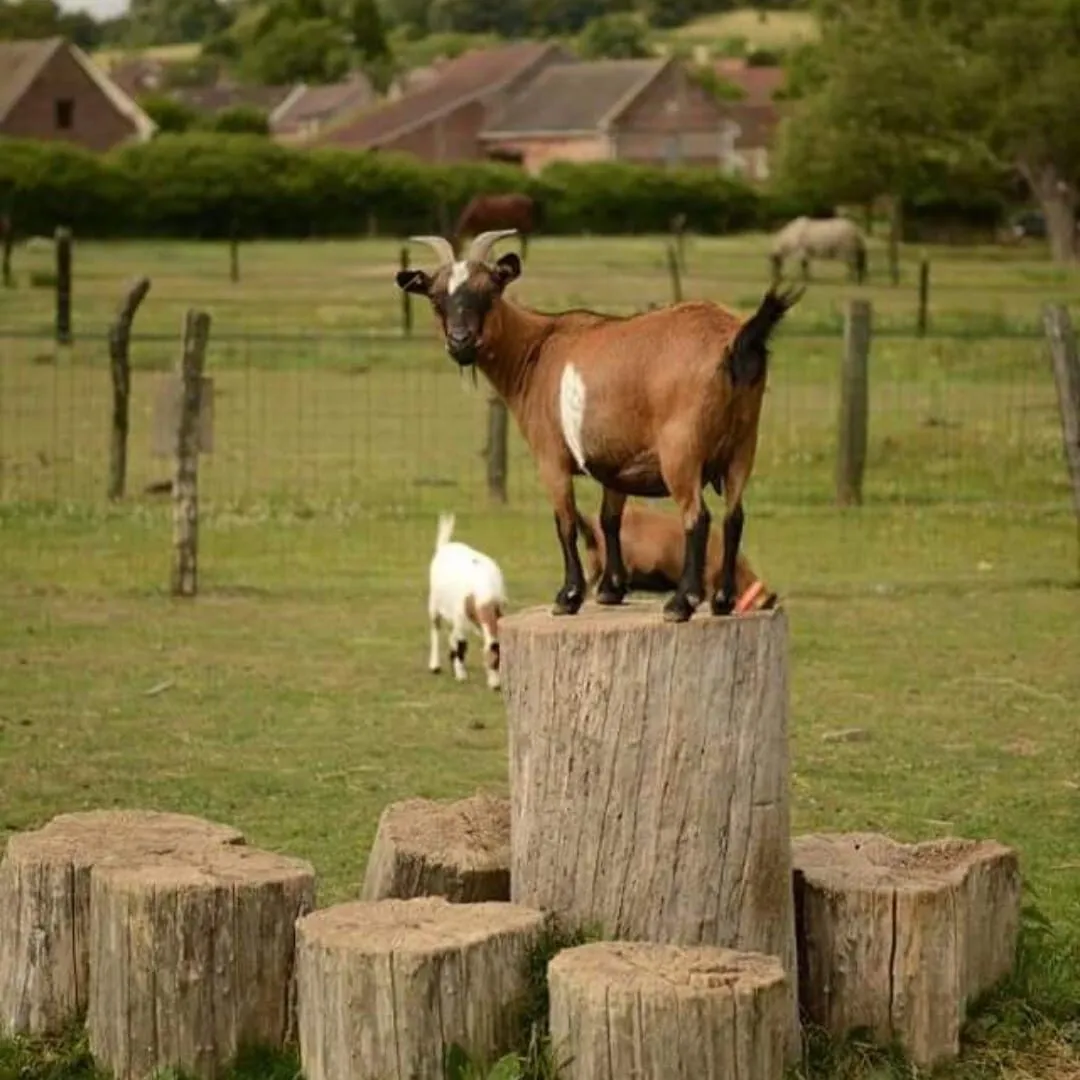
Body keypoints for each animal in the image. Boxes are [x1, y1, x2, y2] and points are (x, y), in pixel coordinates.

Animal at [427, 512, 507, 690]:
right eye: (491, 662)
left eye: (499, 661)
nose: (496, 686)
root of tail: (444, 546)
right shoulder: (460, 620)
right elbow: (461, 644)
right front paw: (461, 675)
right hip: (434, 603)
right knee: (436, 629)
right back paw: (435, 666)